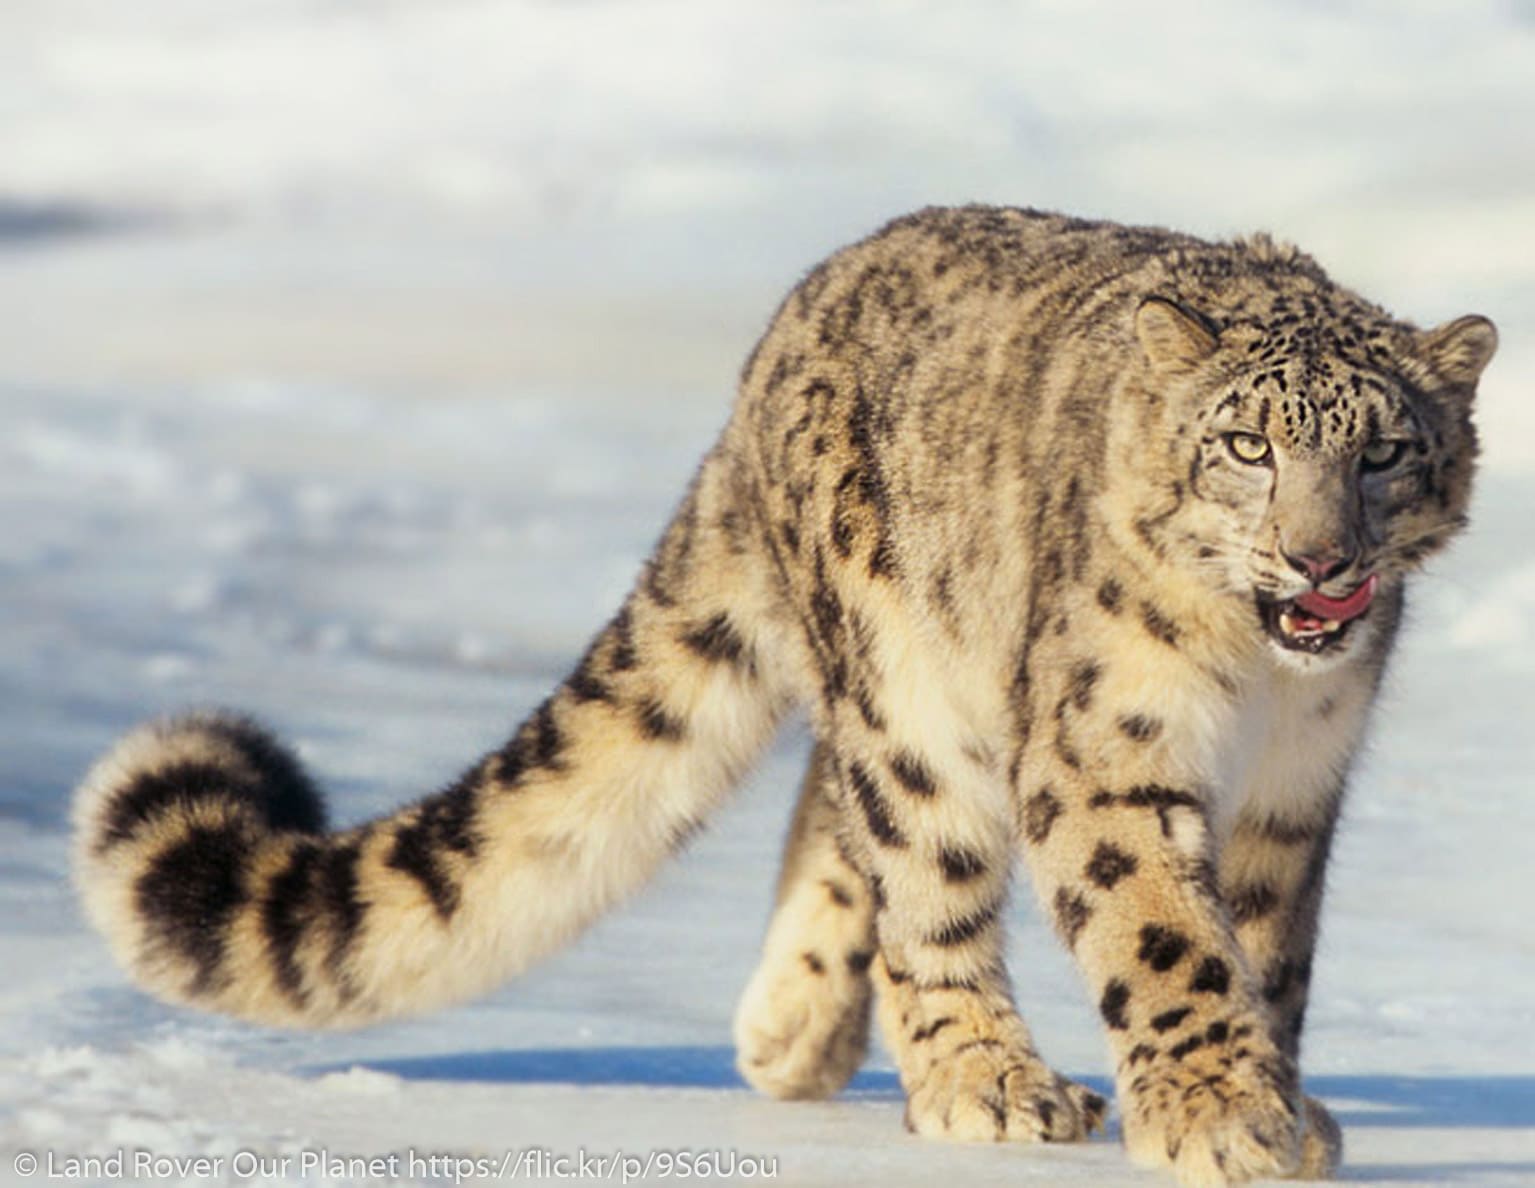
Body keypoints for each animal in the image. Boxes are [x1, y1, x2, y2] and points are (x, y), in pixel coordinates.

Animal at [72, 206, 1495, 1186]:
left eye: (1382, 451)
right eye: (1245, 446)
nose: (1319, 559)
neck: (1256, 688)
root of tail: (777, 341)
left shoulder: (1295, 788)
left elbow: (1266, 945)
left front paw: (1278, 1101)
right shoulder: (1107, 753)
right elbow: (1162, 934)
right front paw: (1217, 1112)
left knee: (842, 807)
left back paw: (796, 1024)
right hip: (903, 678)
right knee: (916, 864)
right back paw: (980, 1079)